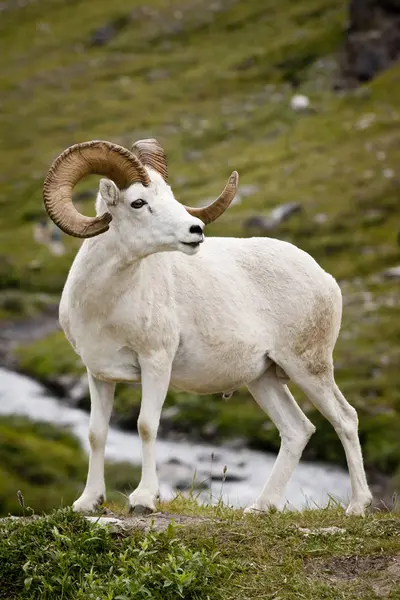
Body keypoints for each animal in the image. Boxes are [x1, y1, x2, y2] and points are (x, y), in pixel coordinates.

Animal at [43, 139, 372, 516]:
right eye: (138, 202)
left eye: (169, 195)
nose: (195, 231)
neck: (106, 306)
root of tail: (325, 279)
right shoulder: (99, 375)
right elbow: (96, 433)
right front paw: (88, 501)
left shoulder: (156, 363)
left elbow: (146, 426)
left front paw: (144, 500)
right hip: (264, 378)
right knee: (297, 429)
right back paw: (260, 507)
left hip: (308, 367)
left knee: (345, 419)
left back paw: (357, 506)